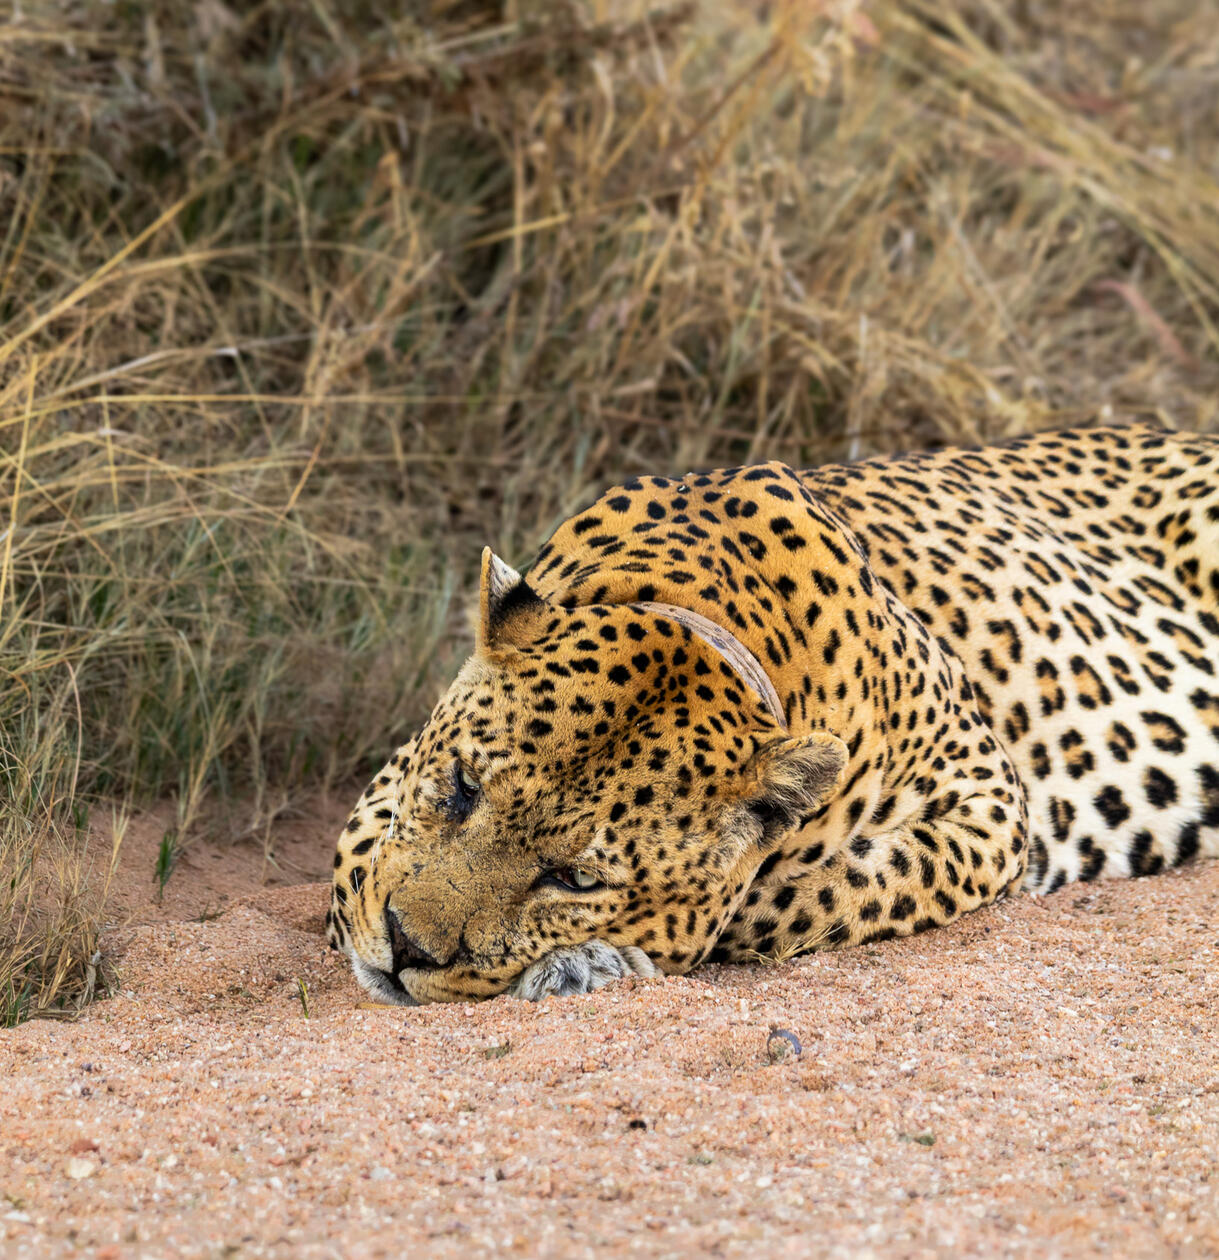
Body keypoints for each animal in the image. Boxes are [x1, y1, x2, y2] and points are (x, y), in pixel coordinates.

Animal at [326, 423, 1219, 1005]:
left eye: (576, 879)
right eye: (460, 787)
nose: (405, 948)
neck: (704, 613)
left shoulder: (989, 802)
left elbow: (828, 890)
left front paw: (598, 958)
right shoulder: (389, 780)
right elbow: (356, 863)